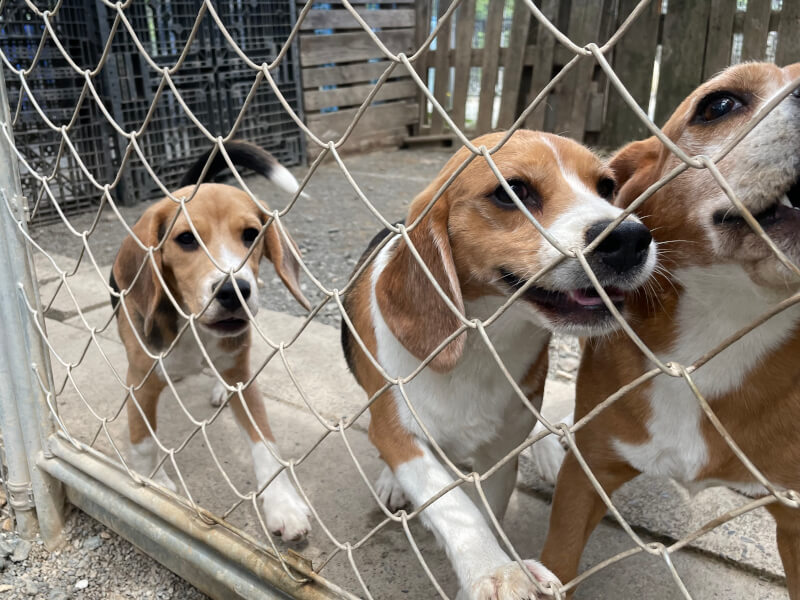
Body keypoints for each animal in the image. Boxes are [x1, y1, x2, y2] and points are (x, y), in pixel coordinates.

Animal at [108, 141, 312, 540]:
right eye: (186, 239)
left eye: (251, 235)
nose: (234, 291)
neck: (192, 324)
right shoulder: (141, 381)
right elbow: (142, 440)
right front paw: (154, 482)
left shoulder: (243, 379)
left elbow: (265, 444)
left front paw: (283, 503)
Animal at [340, 131, 660, 600]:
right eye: (512, 193)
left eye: (606, 187)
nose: (632, 238)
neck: (482, 343)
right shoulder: (397, 430)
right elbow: (454, 505)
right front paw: (494, 570)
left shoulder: (500, 453)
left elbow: (486, 509)